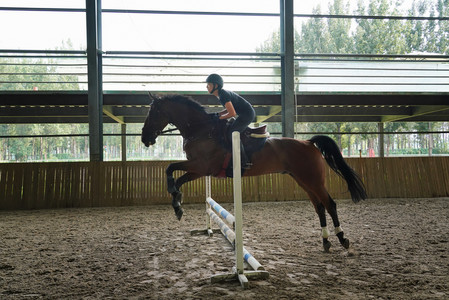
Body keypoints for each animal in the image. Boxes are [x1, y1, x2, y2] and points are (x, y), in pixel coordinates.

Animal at [142, 93, 366, 251]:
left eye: (153, 113)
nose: (145, 139)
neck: (202, 130)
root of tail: (309, 143)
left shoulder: (202, 166)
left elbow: (170, 168)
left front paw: (177, 202)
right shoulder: (198, 169)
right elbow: (175, 176)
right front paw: (177, 205)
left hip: (313, 180)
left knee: (330, 204)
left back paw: (342, 238)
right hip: (303, 180)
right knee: (319, 207)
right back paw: (326, 241)